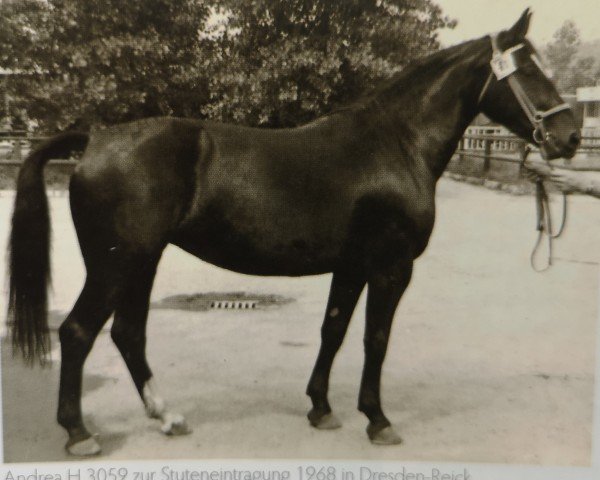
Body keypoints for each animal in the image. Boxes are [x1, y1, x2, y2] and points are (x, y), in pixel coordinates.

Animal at [5, 9, 580, 456]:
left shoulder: (351, 266)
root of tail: (97, 138)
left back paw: (167, 417)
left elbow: (333, 331)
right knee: (77, 332)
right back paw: (79, 434)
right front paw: (378, 421)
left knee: (127, 333)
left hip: (140, 261)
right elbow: (375, 338)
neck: (395, 145)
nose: (570, 136)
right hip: (116, 263)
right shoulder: (391, 267)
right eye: (528, 69)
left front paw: (321, 409)